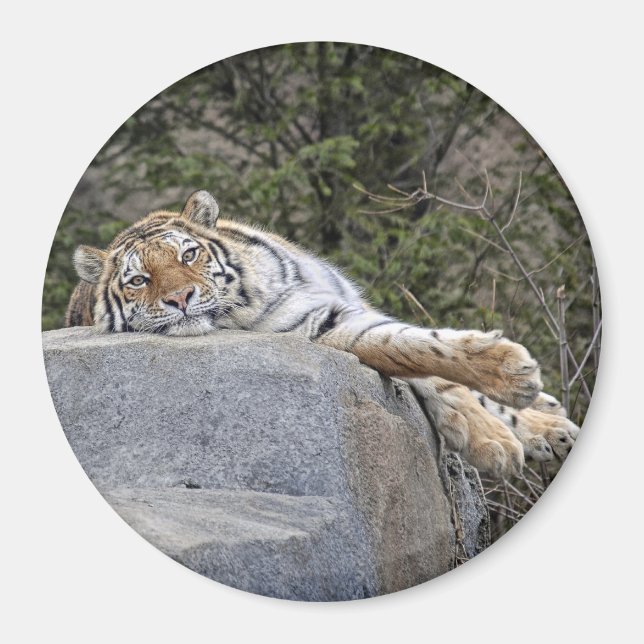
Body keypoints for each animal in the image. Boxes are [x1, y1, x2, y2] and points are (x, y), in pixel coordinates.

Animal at [66, 190, 579, 478]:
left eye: (188, 255)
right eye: (139, 280)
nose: (180, 298)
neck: (252, 297)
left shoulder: (340, 308)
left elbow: (431, 355)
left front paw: (512, 386)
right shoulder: (322, 329)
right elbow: (410, 349)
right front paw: (499, 429)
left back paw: (551, 423)